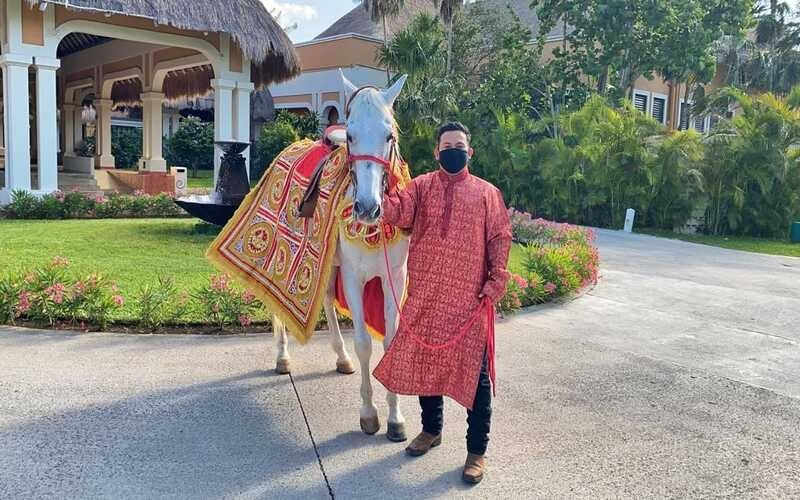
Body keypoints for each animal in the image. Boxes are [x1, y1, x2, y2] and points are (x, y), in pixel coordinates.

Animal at [271, 71, 411, 442]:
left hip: (329, 265)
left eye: (389, 135)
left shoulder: (394, 277)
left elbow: (389, 342)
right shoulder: (354, 277)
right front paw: (369, 414)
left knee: (326, 301)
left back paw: (341, 357)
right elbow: (364, 343)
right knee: (278, 308)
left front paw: (396, 418)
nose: (367, 208)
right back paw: (282, 356)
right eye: (350, 135)